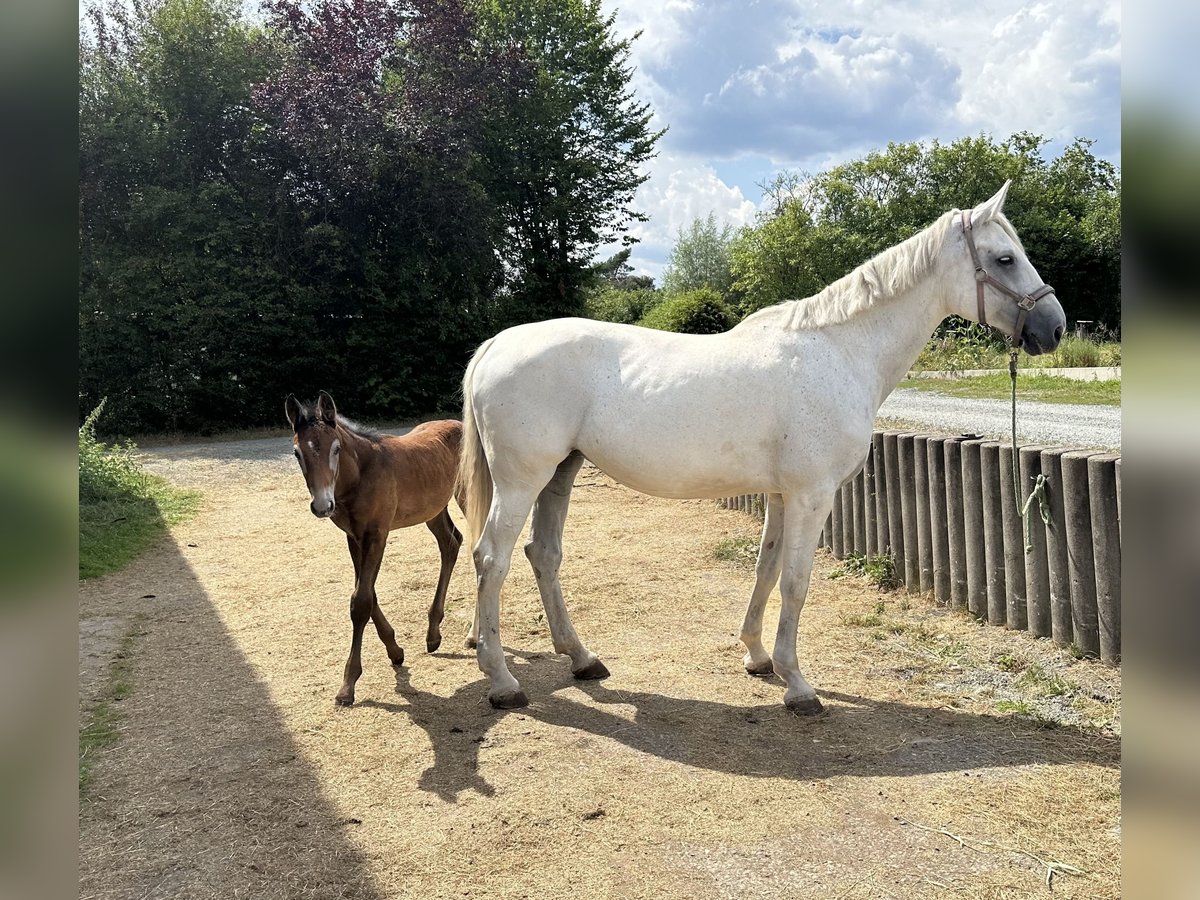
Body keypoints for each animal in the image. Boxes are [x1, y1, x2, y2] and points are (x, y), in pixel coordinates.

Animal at [284, 391, 463, 710]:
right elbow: (367, 592)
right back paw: (433, 634)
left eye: (336, 448)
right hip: (433, 509)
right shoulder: (354, 537)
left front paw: (348, 685)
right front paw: (395, 649)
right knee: (451, 542)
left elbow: (361, 602)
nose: (322, 506)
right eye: (296, 453)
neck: (360, 475)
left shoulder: (377, 534)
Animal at [458, 183, 1070, 715]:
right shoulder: (811, 495)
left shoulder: (780, 495)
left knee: (543, 555)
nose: (1055, 328)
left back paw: (582, 659)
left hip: (560, 473)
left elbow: (767, 569)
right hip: (522, 481)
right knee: (492, 559)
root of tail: (497, 345)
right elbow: (797, 582)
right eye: (1005, 259)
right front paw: (797, 685)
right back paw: (503, 682)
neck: (839, 350)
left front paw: (757, 657)